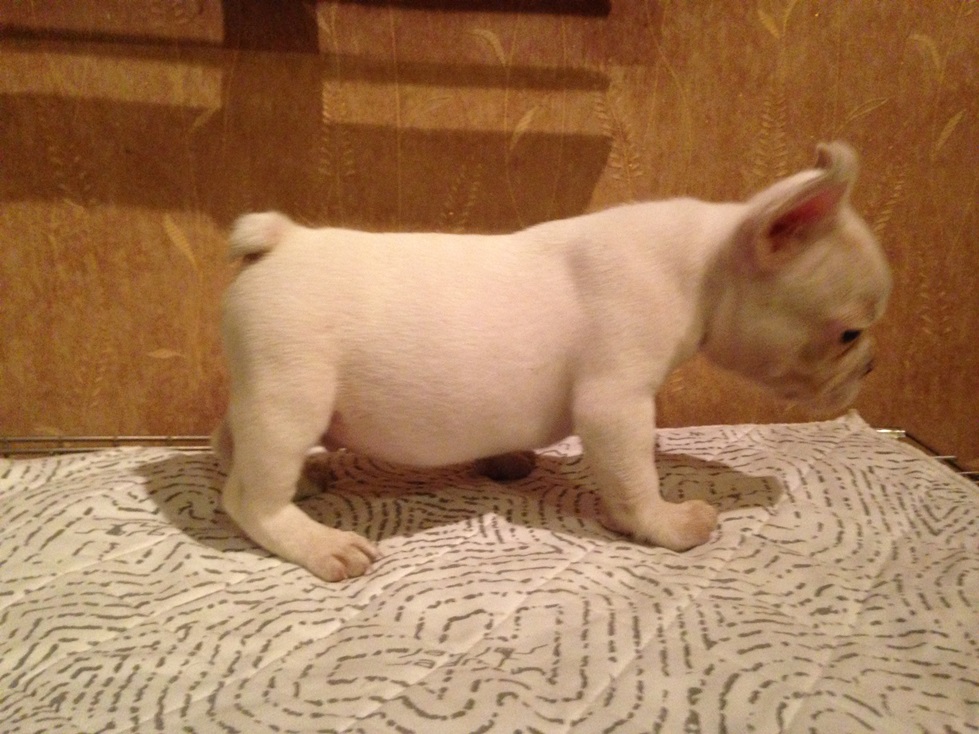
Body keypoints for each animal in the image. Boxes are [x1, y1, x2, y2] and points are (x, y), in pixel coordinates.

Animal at [212, 141, 891, 581]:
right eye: (849, 334)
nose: (872, 367)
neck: (704, 263)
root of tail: (283, 240)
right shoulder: (616, 403)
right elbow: (634, 476)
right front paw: (664, 524)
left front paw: (506, 460)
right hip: (291, 396)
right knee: (249, 499)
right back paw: (317, 541)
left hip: (264, 392)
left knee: (229, 440)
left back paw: (304, 478)